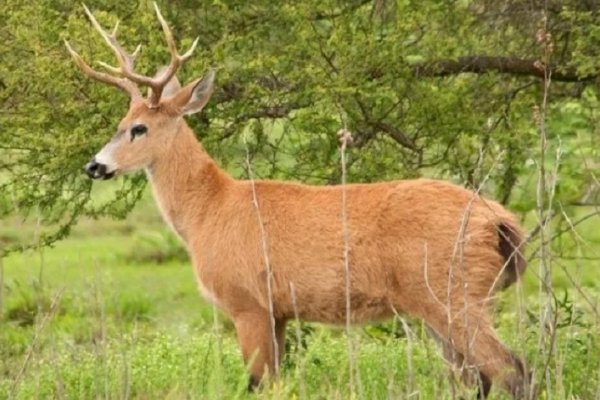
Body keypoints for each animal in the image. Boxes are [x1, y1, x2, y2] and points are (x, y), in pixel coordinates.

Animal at [65, 3, 536, 400]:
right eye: (121, 121)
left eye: (139, 128)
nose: (94, 165)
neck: (209, 210)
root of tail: (499, 221)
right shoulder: (278, 312)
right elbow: (277, 383)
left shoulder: (247, 302)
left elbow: (257, 384)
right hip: (445, 301)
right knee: (476, 378)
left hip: (452, 293)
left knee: (513, 369)